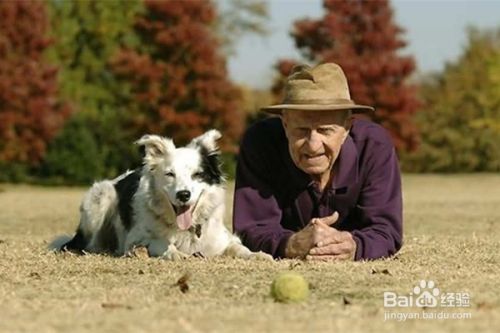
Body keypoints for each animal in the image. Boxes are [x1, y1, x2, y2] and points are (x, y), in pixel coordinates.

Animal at [52, 128, 272, 260]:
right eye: (170, 174)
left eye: (197, 174)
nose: (183, 195)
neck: (186, 229)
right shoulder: (135, 238)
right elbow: (161, 243)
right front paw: (176, 254)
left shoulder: (221, 239)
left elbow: (239, 248)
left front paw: (258, 255)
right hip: (101, 197)